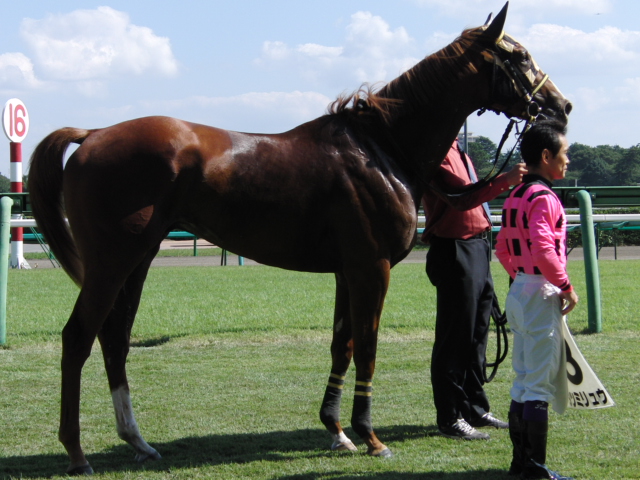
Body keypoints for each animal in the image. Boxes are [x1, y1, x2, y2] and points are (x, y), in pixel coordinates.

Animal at [28, 3, 571, 475]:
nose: (560, 105)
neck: (382, 148)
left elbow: (341, 345)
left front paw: (337, 431)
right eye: (518, 56)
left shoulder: (346, 271)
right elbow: (367, 346)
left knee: (114, 339)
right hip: (111, 263)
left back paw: (137, 440)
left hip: (137, 261)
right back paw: (77, 452)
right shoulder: (371, 269)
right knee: (78, 338)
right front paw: (371, 437)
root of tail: (92, 134)